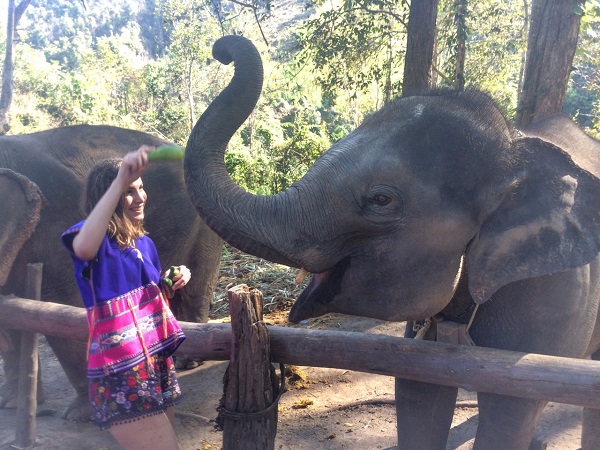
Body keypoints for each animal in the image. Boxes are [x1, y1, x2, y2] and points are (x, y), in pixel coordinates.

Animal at [0, 125, 223, 420]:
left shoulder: (51, 222)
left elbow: (62, 306)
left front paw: (81, 413)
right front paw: (11, 404)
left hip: (205, 220)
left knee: (196, 286)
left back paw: (189, 360)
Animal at [183, 36, 600, 450]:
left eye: (381, 200)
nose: (223, 50)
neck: (516, 148)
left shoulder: (554, 303)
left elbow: (511, 410)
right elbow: (419, 392)